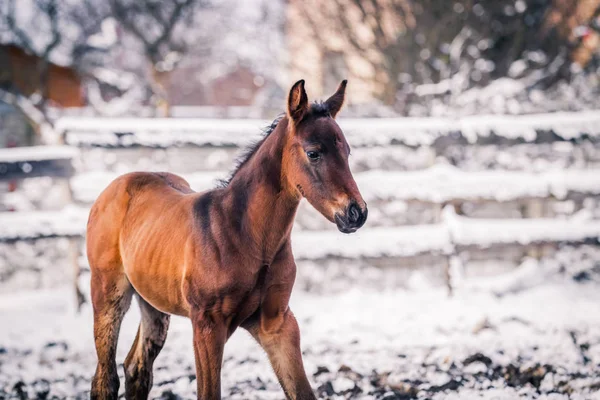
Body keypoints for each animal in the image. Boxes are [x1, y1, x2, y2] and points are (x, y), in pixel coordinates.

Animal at [86, 79, 368, 398]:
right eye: (313, 153)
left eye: (347, 152)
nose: (356, 213)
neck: (246, 236)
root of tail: (119, 184)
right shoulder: (207, 325)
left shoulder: (277, 324)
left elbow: (302, 392)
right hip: (108, 294)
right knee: (105, 377)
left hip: (153, 304)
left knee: (136, 367)